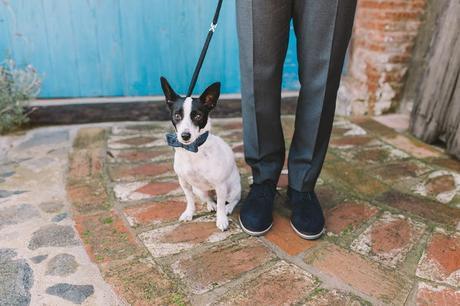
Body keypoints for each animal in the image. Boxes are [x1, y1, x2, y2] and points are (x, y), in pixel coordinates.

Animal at [161, 77, 243, 231]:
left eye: (198, 116)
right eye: (177, 116)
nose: (185, 135)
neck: (192, 150)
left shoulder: (220, 186)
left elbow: (221, 205)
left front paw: (221, 219)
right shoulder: (184, 183)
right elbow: (190, 200)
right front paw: (189, 213)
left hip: (233, 189)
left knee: (233, 200)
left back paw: (228, 208)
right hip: (200, 190)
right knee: (209, 199)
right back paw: (211, 205)